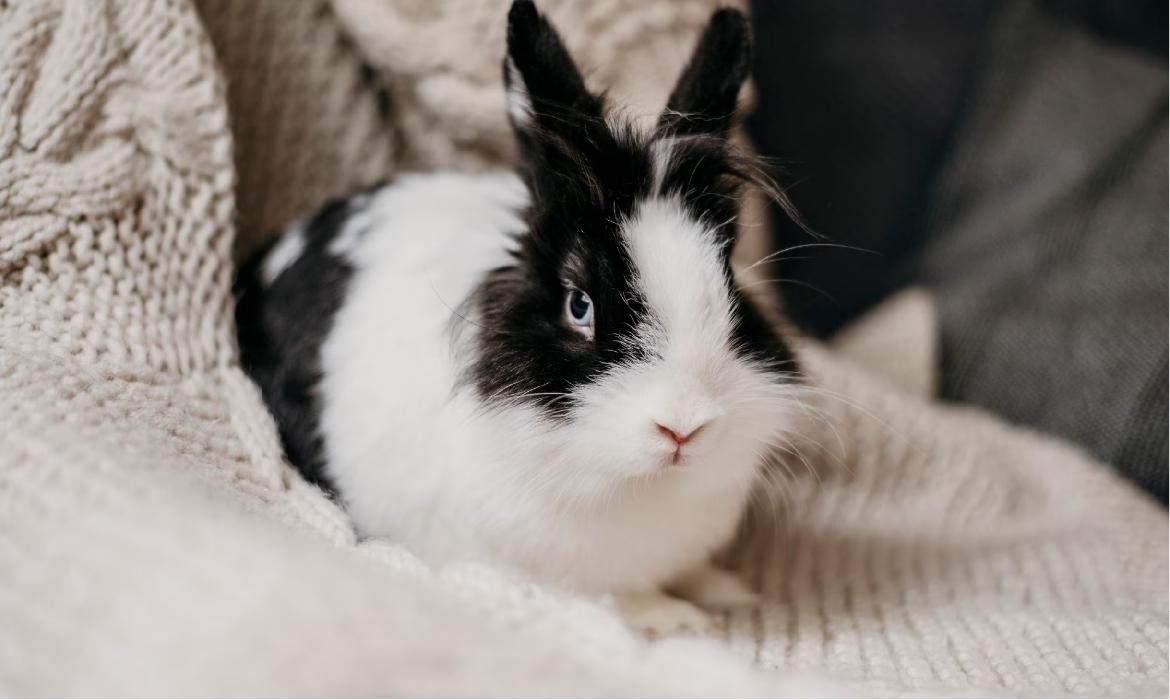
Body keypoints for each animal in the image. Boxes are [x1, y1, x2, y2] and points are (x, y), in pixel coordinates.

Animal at [235, 0, 803, 638]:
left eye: (730, 289)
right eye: (578, 305)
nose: (683, 428)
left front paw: (727, 590)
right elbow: (620, 597)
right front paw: (677, 619)